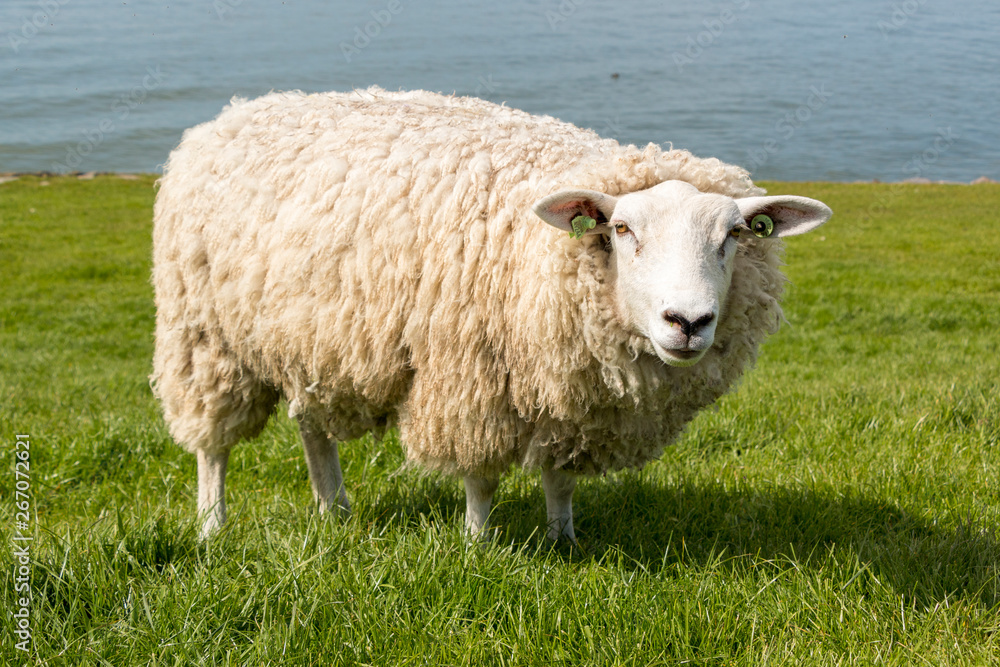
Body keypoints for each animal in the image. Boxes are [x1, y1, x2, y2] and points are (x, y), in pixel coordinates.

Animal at [151, 87, 832, 541]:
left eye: (734, 236)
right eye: (621, 229)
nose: (687, 322)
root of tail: (237, 110)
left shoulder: (572, 392)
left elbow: (560, 477)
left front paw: (564, 539)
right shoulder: (471, 377)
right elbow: (478, 475)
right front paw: (478, 545)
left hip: (307, 336)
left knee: (311, 424)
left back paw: (333, 509)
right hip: (203, 334)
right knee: (211, 444)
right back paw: (212, 525)